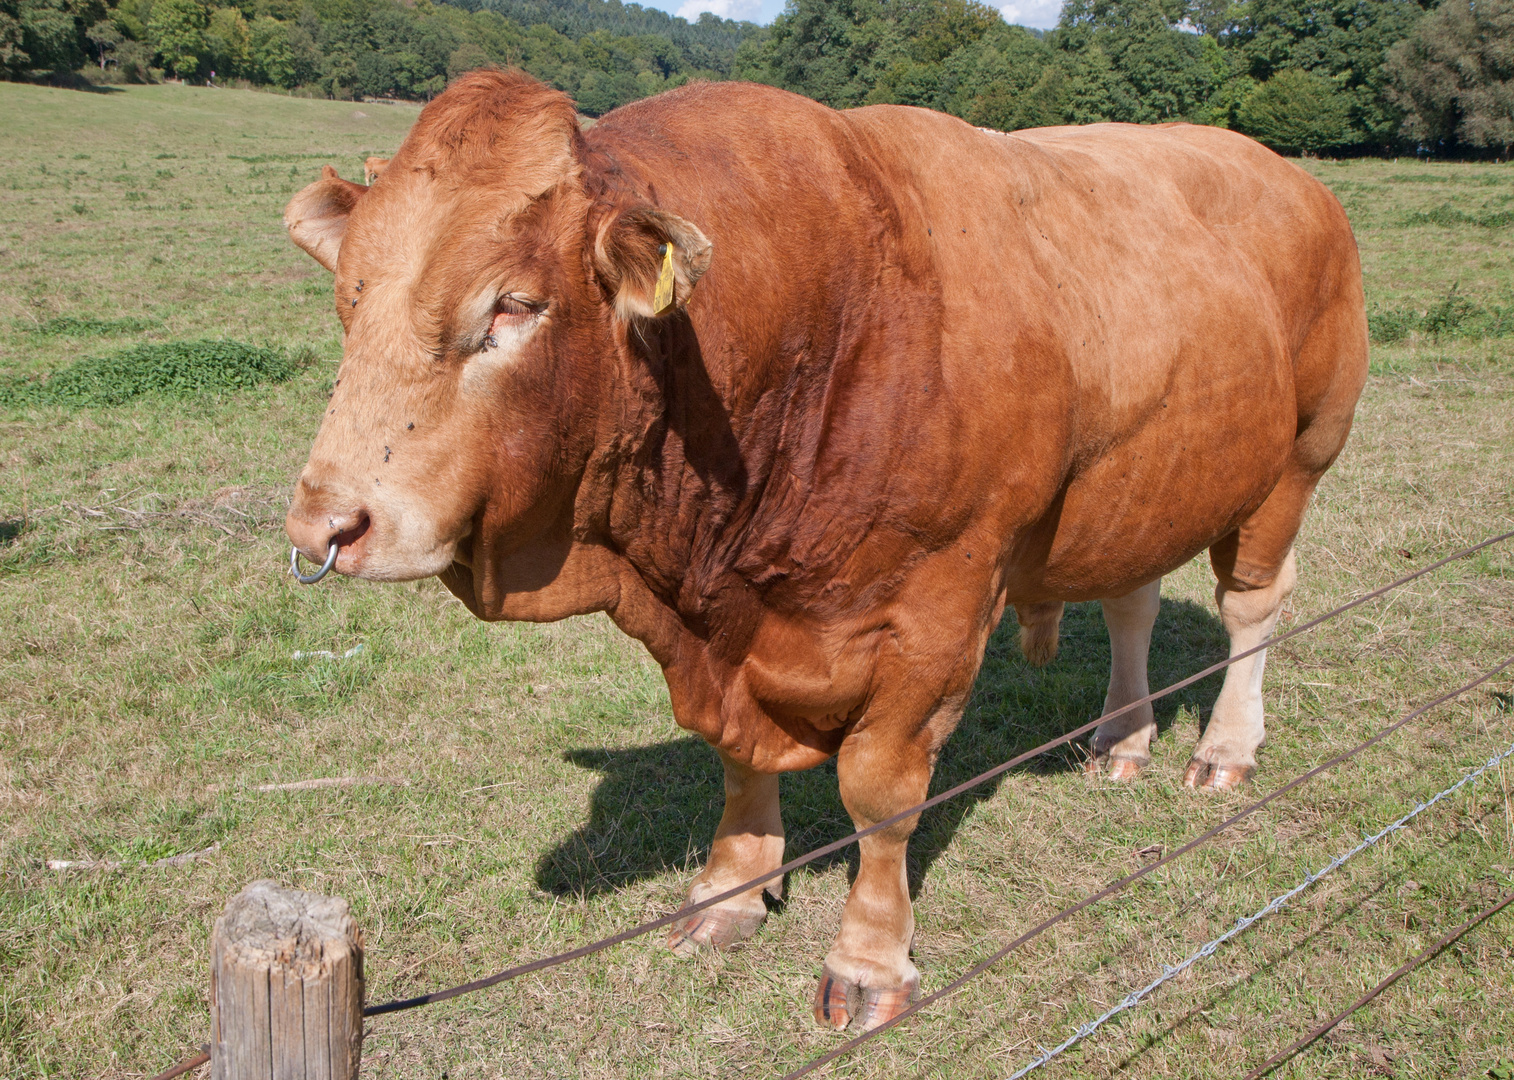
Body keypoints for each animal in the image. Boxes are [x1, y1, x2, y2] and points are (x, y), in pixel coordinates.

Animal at [278, 67, 1368, 1030]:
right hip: (1134, 489)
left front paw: (869, 960)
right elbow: (729, 758)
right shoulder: (714, 634)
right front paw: (728, 891)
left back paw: (1223, 750)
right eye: (350, 297)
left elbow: (879, 793)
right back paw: (1120, 739)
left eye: (512, 304)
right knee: (1133, 601)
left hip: (1298, 458)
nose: (325, 525)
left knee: (1251, 606)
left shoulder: (937, 605)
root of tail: (1284, 170)